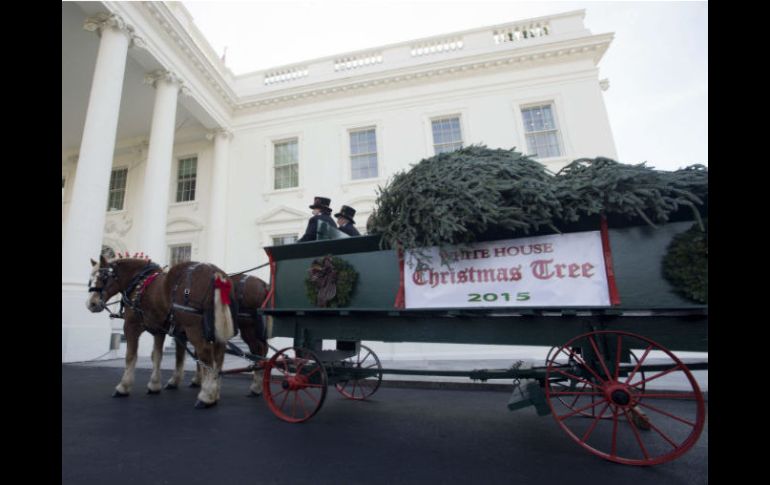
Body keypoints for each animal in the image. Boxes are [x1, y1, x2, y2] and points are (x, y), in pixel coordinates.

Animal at [86, 255, 234, 406]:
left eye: (102, 277)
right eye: (90, 278)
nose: (91, 303)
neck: (138, 283)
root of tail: (215, 273)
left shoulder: (131, 326)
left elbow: (130, 356)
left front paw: (123, 387)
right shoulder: (159, 330)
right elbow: (157, 356)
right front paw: (154, 385)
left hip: (194, 329)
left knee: (205, 354)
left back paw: (206, 396)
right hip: (213, 330)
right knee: (218, 356)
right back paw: (214, 391)